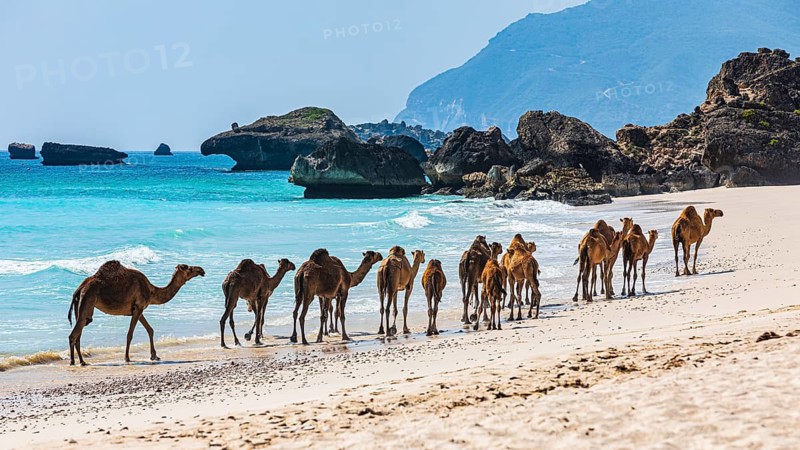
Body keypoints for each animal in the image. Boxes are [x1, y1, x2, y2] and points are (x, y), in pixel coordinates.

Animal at [67, 261, 205, 366]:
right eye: (188, 268)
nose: (201, 270)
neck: (152, 291)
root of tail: (79, 288)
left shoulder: (138, 309)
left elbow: (150, 329)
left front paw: (154, 356)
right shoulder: (139, 307)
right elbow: (130, 334)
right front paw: (127, 358)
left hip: (80, 305)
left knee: (79, 333)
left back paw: (81, 361)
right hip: (88, 301)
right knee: (74, 333)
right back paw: (75, 362)